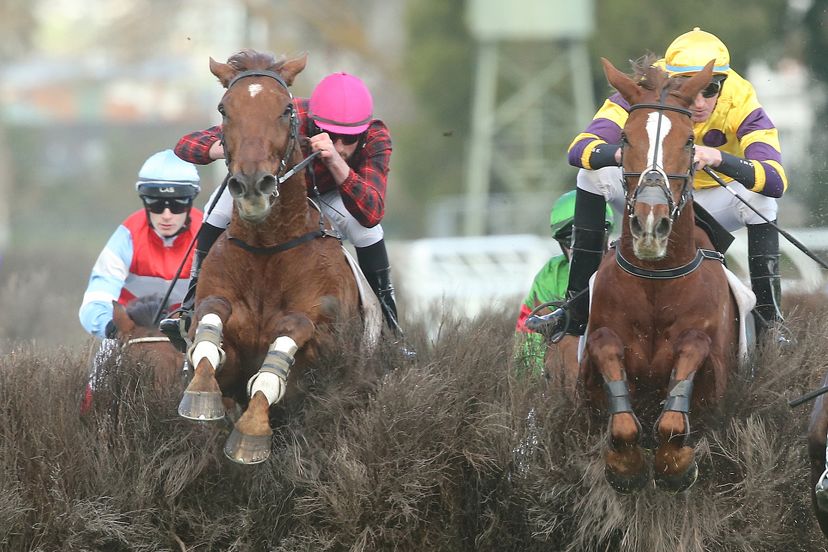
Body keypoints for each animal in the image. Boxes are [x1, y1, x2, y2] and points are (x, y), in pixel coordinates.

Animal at [181, 50, 382, 466]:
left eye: (286, 109)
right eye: (224, 108)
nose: (253, 187)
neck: (267, 248)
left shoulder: (321, 349)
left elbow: (282, 352)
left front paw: (252, 432)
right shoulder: (226, 351)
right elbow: (209, 329)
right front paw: (200, 394)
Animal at [584, 58, 744, 494]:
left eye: (689, 142)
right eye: (625, 136)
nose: (651, 225)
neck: (656, 280)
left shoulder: (712, 364)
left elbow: (677, 407)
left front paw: (676, 464)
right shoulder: (599, 348)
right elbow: (608, 359)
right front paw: (626, 465)